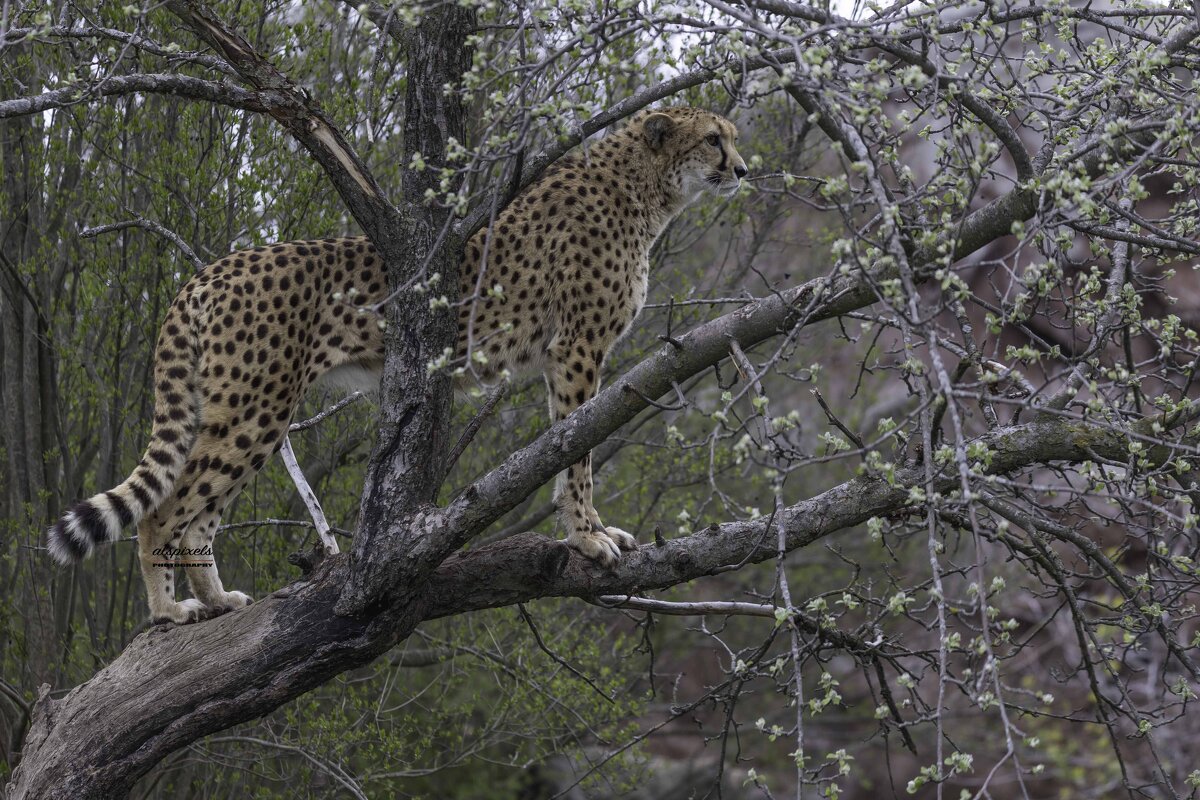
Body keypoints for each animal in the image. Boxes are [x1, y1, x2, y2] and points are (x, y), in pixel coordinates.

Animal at [49, 106, 748, 623]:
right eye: (713, 140)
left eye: (732, 137)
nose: (743, 168)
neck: (642, 187)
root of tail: (212, 269)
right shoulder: (575, 348)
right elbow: (577, 455)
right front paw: (586, 537)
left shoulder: (568, 354)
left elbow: (573, 448)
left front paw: (597, 531)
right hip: (256, 407)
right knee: (166, 510)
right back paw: (168, 612)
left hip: (240, 411)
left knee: (200, 514)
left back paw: (217, 599)